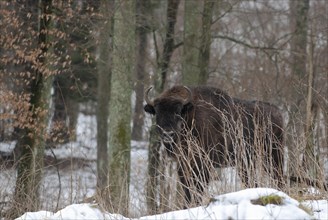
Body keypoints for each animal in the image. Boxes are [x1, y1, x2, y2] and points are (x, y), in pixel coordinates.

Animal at [144, 85, 284, 205]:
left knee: (279, 177)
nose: (168, 134)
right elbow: (187, 190)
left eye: (178, 111)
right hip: (247, 162)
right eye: (157, 112)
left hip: (273, 157)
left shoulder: (204, 164)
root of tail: (278, 112)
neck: (190, 117)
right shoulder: (183, 165)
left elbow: (198, 189)